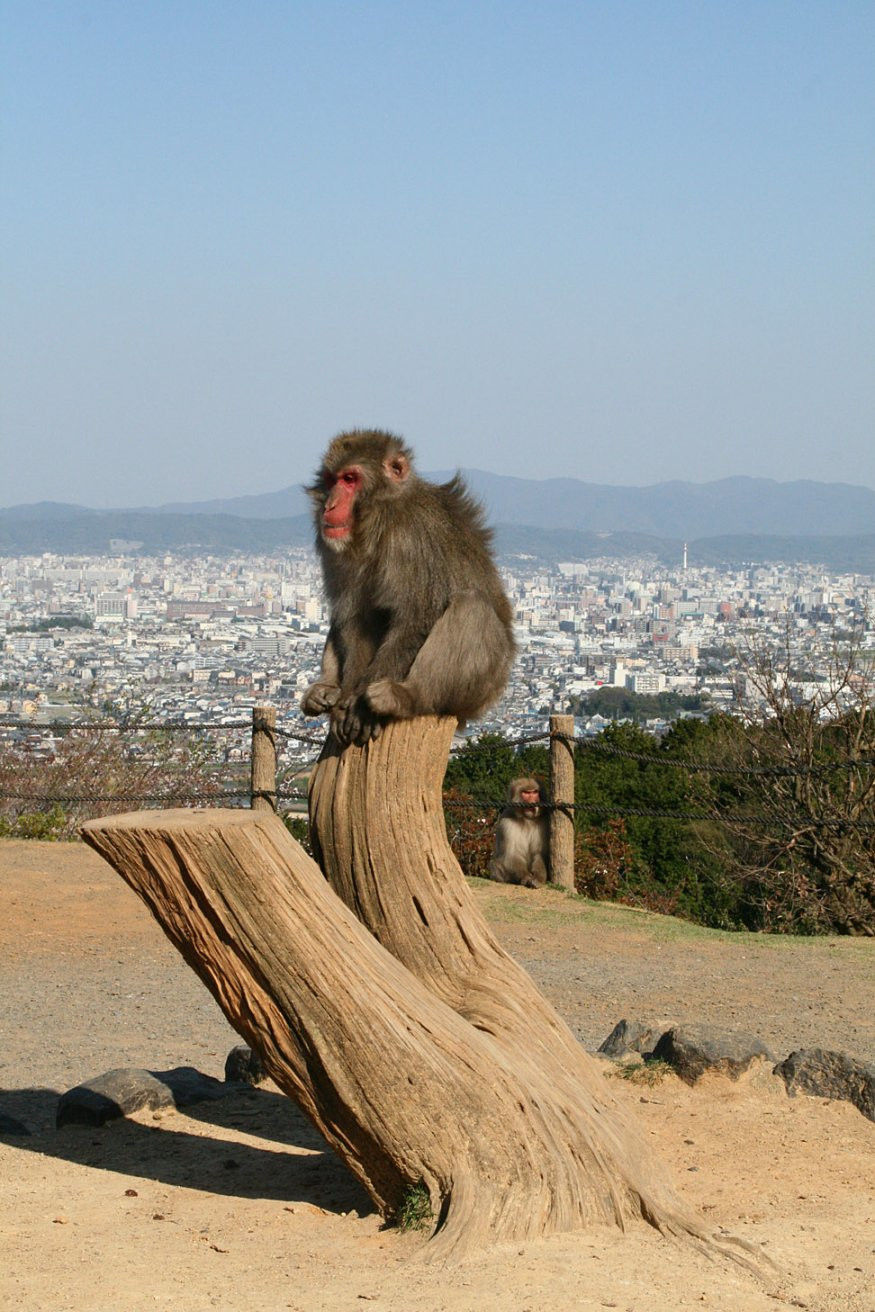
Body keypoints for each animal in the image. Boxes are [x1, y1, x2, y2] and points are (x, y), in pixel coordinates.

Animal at [301, 429, 516, 745]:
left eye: (350, 479)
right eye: (331, 480)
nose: (330, 506)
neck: (378, 519)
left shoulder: (410, 538)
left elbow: (415, 617)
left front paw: (360, 708)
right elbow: (355, 618)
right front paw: (346, 699)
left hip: (485, 685)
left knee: (471, 606)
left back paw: (405, 697)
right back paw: (324, 691)